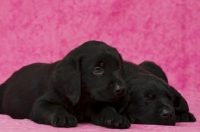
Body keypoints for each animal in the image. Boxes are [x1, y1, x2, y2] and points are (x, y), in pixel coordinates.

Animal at [0, 40, 130, 128]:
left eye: (119, 67)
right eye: (97, 69)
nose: (121, 89)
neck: (83, 99)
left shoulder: (95, 105)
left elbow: (107, 108)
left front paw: (116, 117)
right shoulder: (40, 104)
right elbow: (54, 107)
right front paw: (64, 116)